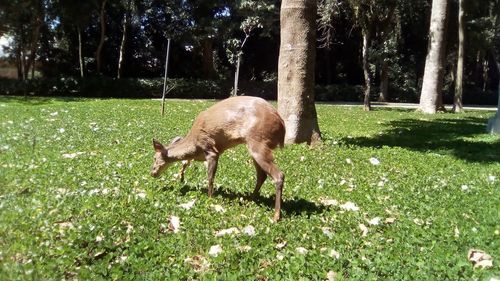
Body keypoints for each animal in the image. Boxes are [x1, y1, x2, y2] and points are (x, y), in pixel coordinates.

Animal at [150, 96, 286, 221]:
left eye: (154, 158)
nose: (152, 173)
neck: (194, 146)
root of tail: (281, 124)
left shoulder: (211, 149)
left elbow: (210, 177)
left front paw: (210, 198)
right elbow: (185, 163)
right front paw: (181, 178)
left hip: (258, 141)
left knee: (279, 175)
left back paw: (276, 216)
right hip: (254, 147)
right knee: (262, 175)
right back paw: (250, 200)